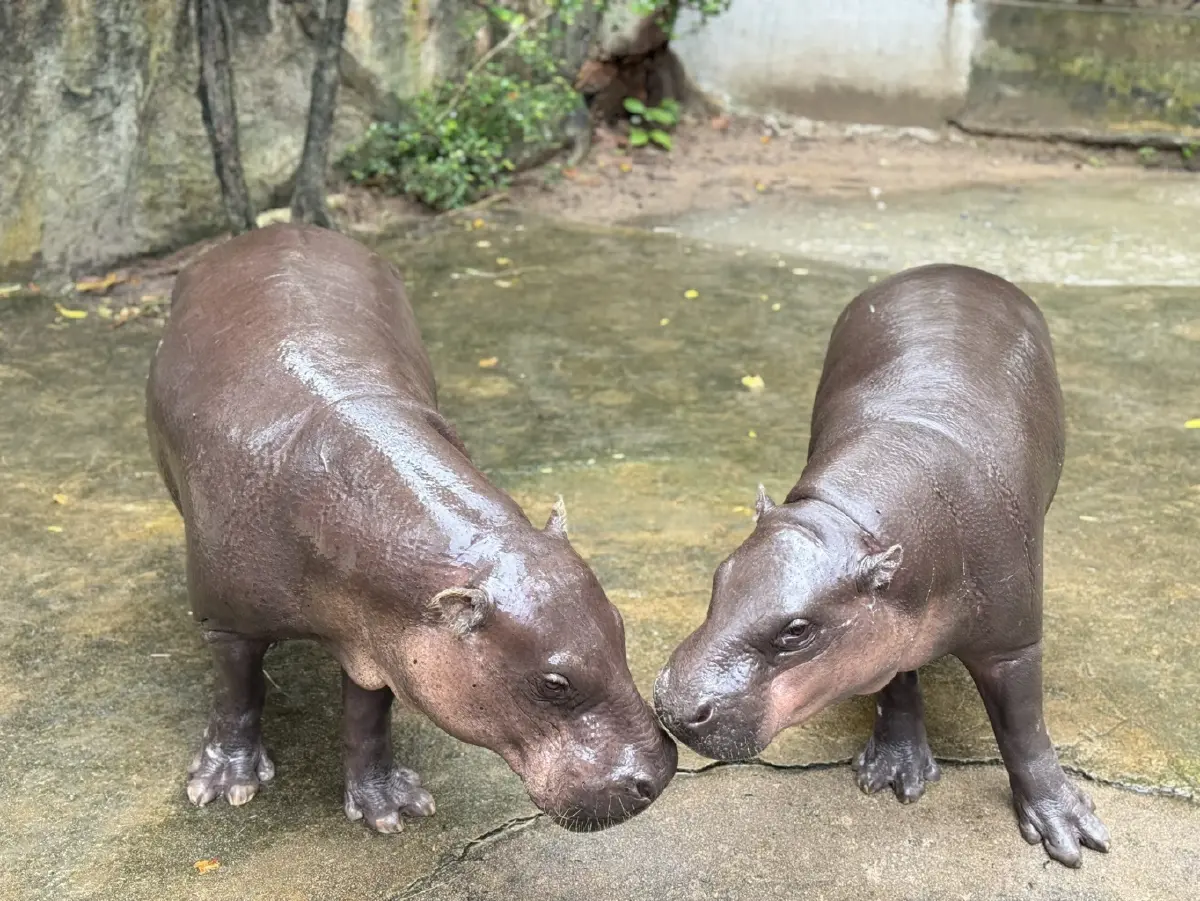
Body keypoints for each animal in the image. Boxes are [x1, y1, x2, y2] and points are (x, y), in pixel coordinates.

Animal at [146, 223, 675, 833]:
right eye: (554, 684)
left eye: (620, 626)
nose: (660, 774)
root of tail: (275, 228)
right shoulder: (227, 621)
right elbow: (237, 692)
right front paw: (223, 786)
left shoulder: (386, 642)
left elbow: (368, 718)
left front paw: (390, 808)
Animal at [654, 264, 1109, 866]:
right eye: (719, 576)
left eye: (797, 631)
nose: (672, 705)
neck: (848, 520)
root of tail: (951, 267)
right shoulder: (884, 628)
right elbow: (895, 682)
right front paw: (895, 773)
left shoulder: (1012, 641)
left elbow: (1024, 726)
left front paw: (1071, 832)